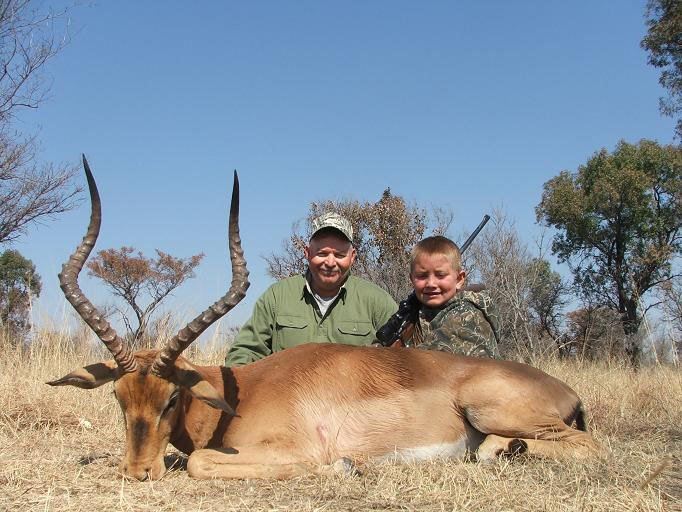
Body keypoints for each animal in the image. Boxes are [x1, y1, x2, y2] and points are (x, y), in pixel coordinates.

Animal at [47, 157, 603, 481]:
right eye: (119, 399)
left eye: (170, 399)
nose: (136, 472)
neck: (243, 394)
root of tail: (565, 389)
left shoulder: (290, 451)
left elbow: (199, 461)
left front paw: (343, 465)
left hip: (490, 410)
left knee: (585, 444)